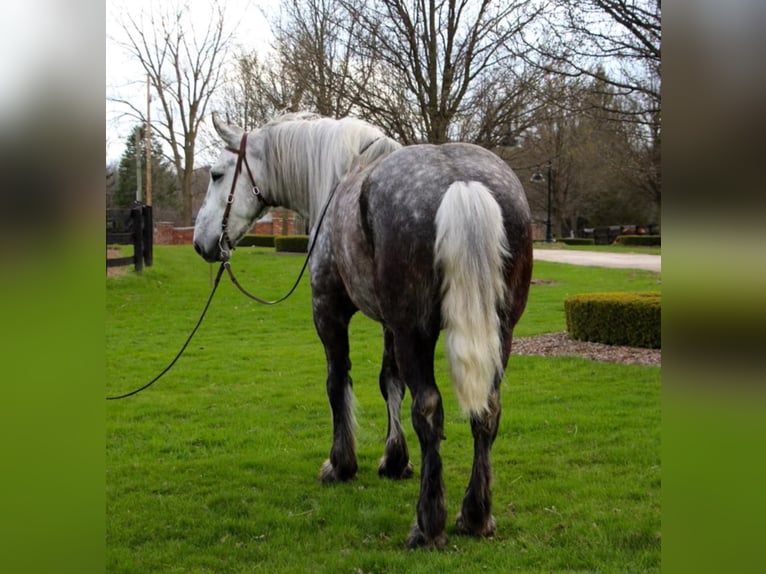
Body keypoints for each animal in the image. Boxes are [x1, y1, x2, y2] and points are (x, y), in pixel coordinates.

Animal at [194, 111, 536, 548]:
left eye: (217, 174)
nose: (201, 242)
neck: (340, 177)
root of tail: (461, 182)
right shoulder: (390, 325)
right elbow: (389, 382)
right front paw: (395, 460)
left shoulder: (329, 310)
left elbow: (337, 382)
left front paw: (341, 464)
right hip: (499, 332)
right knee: (487, 411)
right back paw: (475, 515)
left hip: (415, 333)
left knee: (429, 409)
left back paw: (428, 525)